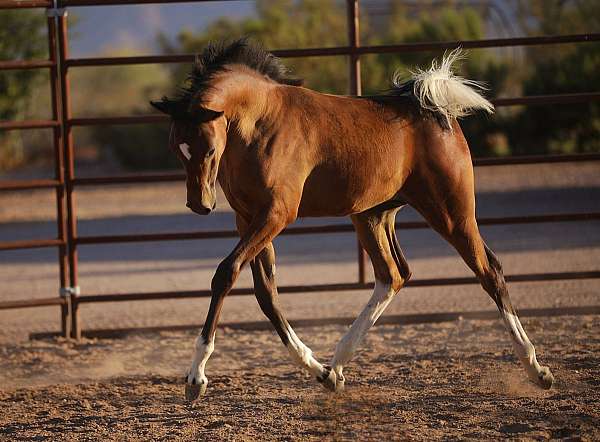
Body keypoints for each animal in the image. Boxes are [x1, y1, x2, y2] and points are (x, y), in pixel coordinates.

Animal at [152, 38, 556, 400]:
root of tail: (436, 111)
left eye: (208, 147)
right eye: (175, 147)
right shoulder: (249, 218)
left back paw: (537, 370)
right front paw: (318, 371)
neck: (261, 121)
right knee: (393, 275)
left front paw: (196, 378)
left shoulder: (277, 214)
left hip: (451, 211)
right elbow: (266, 294)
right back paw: (337, 366)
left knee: (489, 271)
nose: (199, 204)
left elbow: (225, 273)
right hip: (372, 216)